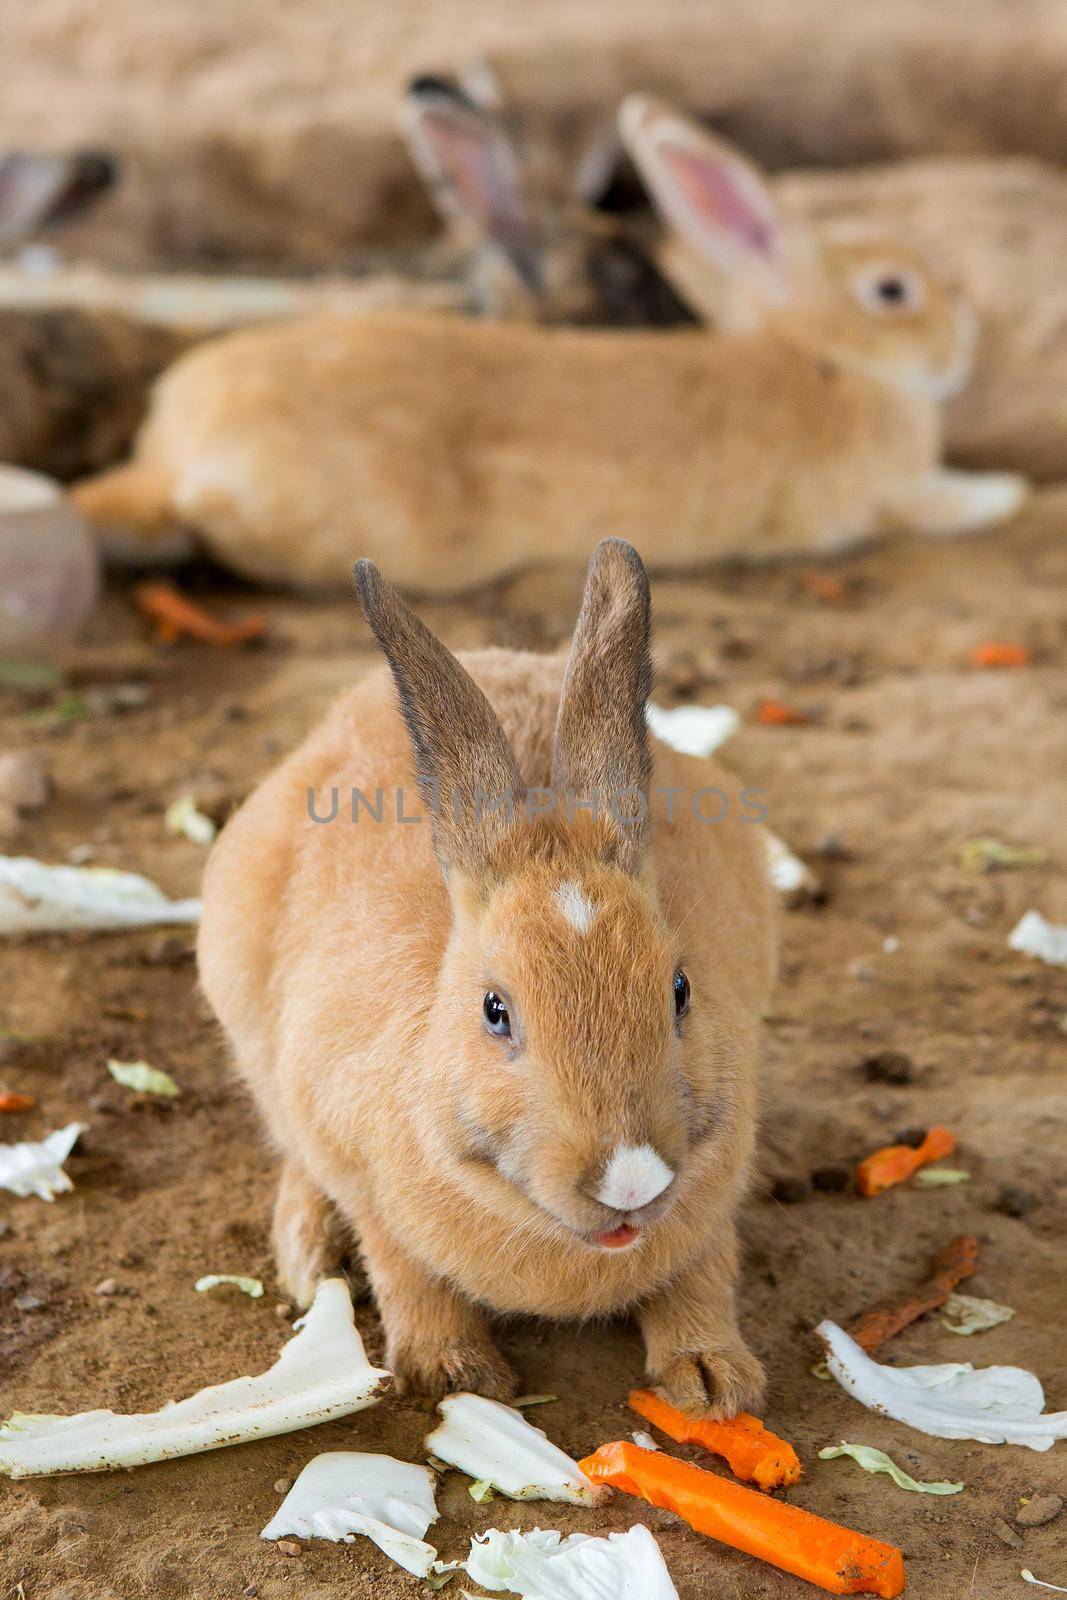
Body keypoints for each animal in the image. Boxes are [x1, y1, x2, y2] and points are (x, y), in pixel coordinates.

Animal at [73, 96, 1023, 595]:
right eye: (893, 291)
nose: (969, 340)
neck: (824, 355)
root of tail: (169, 457)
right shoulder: (892, 496)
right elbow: (946, 502)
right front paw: (1008, 493)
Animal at [198, 544, 777, 1420]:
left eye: (679, 990)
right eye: (494, 1010)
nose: (629, 1178)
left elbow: (702, 1272)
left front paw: (712, 1382)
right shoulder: (364, 1175)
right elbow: (403, 1268)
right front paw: (454, 1374)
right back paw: (308, 1257)